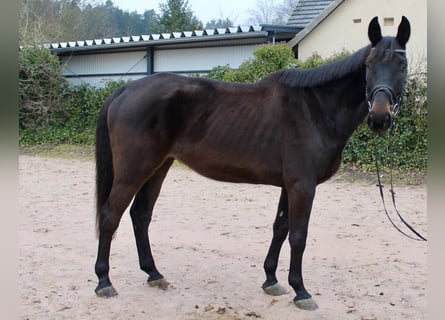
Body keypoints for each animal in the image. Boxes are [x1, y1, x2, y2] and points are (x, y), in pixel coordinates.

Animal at [93, 15, 410, 310]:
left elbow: (280, 228)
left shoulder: (289, 185)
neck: (316, 108)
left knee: (140, 215)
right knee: (111, 215)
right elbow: (298, 235)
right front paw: (301, 291)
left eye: (402, 66)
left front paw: (271, 280)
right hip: (134, 169)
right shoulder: (303, 186)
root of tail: (124, 90)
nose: (380, 118)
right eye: (368, 66)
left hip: (159, 167)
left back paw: (154, 274)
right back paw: (104, 281)